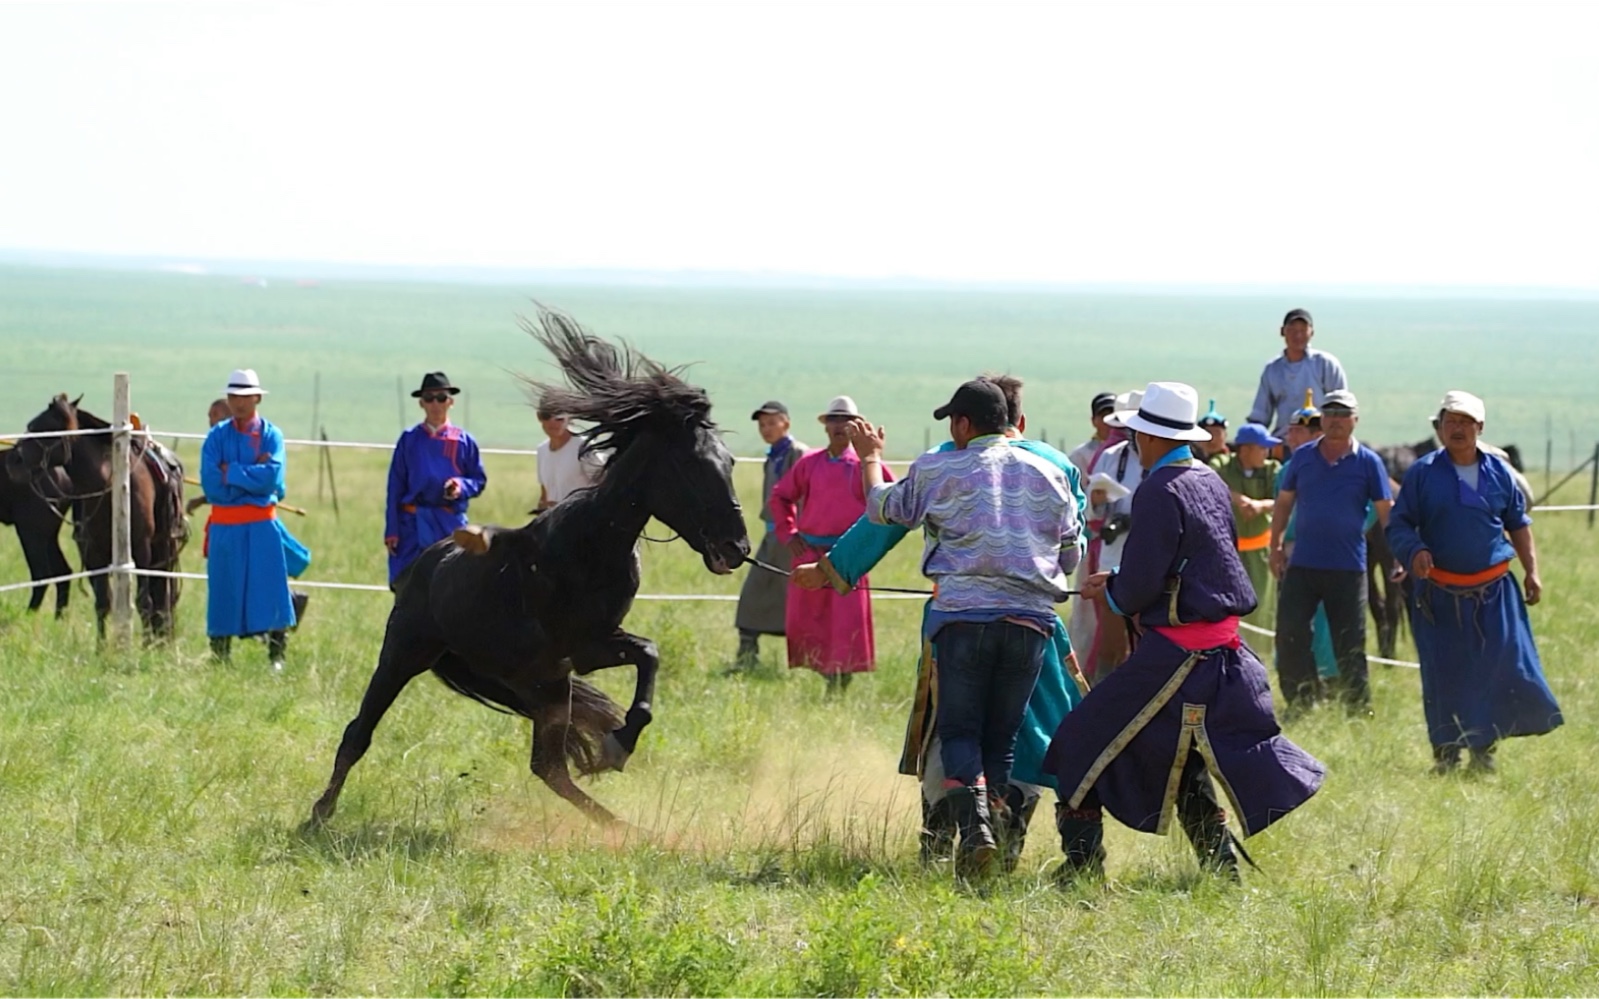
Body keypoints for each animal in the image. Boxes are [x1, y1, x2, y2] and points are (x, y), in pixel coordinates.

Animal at [3, 394, 188, 639]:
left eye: (44, 428)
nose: (13, 462)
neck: (108, 486)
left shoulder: (140, 550)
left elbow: (143, 603)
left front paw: (145, 645)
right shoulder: (92, 553)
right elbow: (102, 603)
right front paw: (102, 647)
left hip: (162, 549)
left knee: (163, 599)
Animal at [310, 308, 748, 824]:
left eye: (729, 460)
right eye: (692, 464)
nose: (736, 546)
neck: (589, 547)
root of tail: (422, 566)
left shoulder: (584, 651)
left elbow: (648, 653)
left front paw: (616, 744)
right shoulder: (578, 650)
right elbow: (648, 654)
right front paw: (618, 743)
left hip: (541, 683)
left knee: (549, 766)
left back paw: (625, 829)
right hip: (406, 653)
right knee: (358, 732)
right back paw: (318, 814)